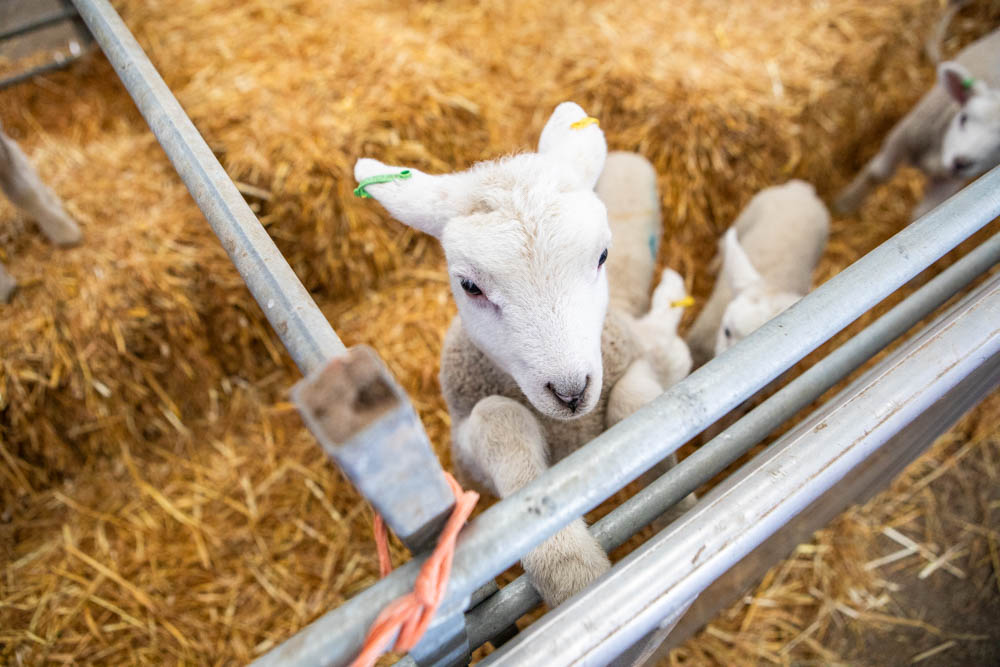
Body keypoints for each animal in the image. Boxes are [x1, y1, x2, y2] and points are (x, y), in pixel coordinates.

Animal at [354, 105, 694, 609]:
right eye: (470, 286)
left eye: (602, 255)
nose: (571, 391)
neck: (569, 428)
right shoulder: (465, 452)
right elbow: (501, 421)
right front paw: (573, 571)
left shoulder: (628, 364)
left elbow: (634, 402)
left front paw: (675, 494)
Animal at [835, 27, 1000, 220]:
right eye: (963, 118)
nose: (960, 162)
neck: (936, 158)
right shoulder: (904, 134)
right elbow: (877, 173)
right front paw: (844, 204)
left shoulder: (947, 183)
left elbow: (922, 215)